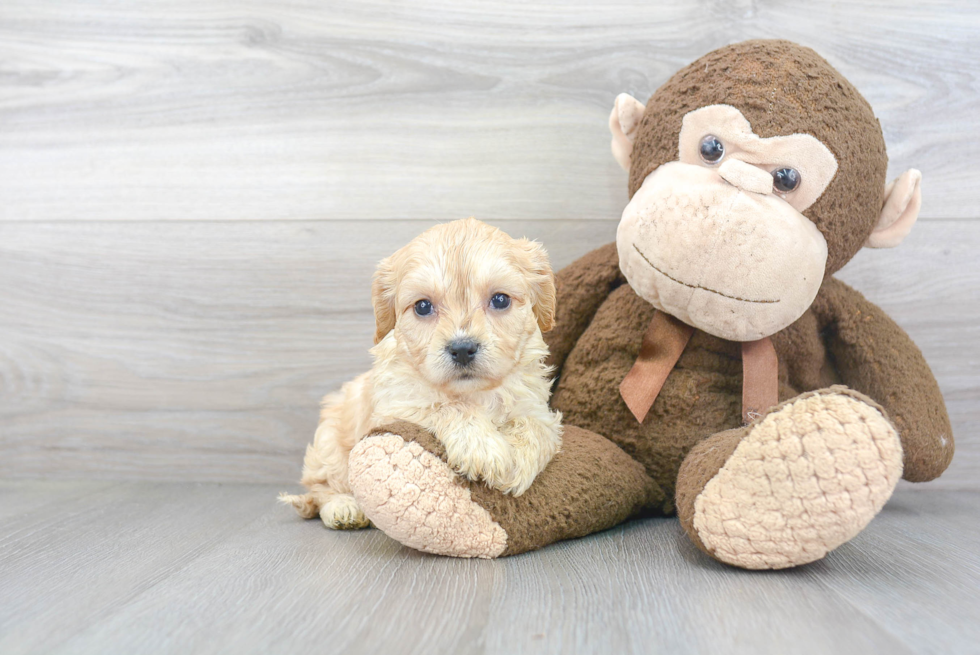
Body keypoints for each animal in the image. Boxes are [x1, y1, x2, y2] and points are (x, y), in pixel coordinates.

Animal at [280, 218, 564, 532]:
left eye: (500, 300)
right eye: (423, 306)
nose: (462, 349)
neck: (474, 393)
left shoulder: (536, 406)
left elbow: (536, 427)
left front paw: (520, 460)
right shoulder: (398, 407)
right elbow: (446, 406)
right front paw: (482, 448)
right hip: (329, 445)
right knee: (320, 489)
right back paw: (343, 508)